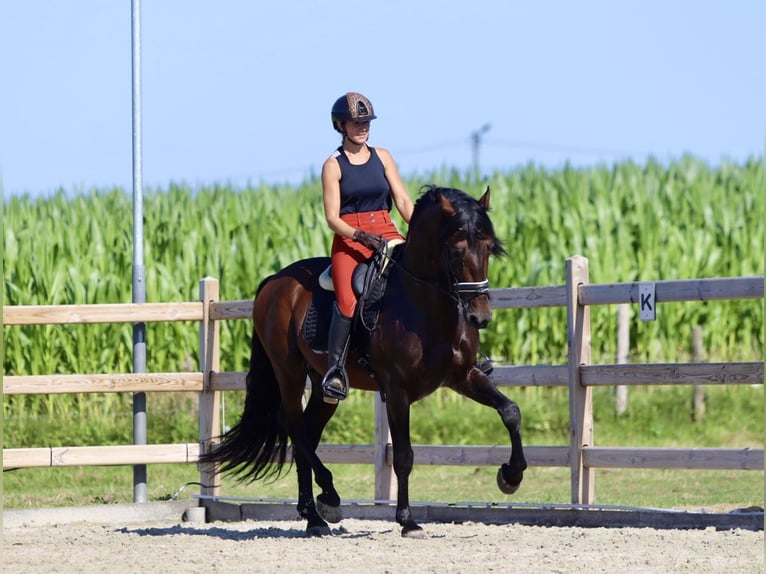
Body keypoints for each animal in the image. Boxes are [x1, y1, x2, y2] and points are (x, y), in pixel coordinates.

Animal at [201, 186, 528, 540]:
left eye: (489, 248)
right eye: (456, 251)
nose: (480, 317)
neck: (423, 304)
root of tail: (275, 280)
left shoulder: (463, 376)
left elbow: (510, 411)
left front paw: (511, 476)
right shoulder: (397, 391)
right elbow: (403, 456)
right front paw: (407, 521)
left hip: (323, 386)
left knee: (306, 434)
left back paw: (313, 515)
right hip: (288, 372)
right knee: (296, 430)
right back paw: (328, 498)